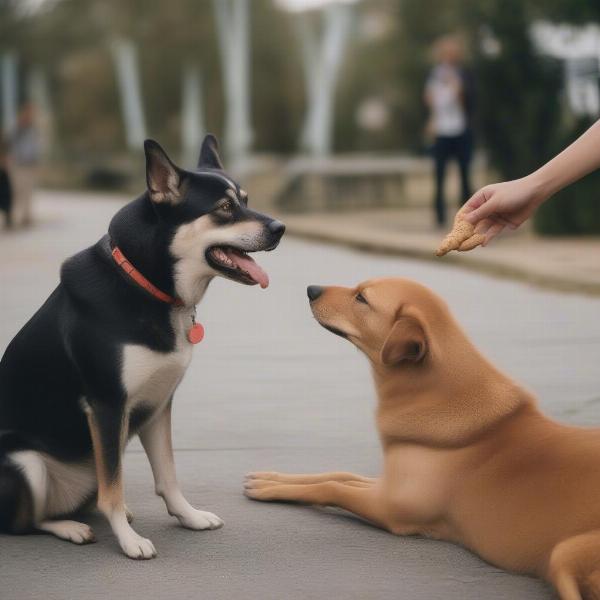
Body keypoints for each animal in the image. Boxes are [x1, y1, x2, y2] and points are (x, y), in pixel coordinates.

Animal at [0, 135, 284, 556]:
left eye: (246, 200)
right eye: (224, 208)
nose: (281, 227)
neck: (145, 284)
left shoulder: (158, 403)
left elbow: (167, 474)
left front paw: (189, 516)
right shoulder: (106, 405)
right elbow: (113, 489)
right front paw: (128, 541)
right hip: (26, 463)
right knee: (24, 521)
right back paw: (70, 527)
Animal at [244, 278, 600, 600]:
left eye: (362, 298)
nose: (311, 289)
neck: (434, 391)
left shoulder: (390, 508)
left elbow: (331, 487)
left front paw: (275, 489)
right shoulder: (389, 483)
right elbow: (339, 474)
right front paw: (274, 479)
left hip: (564, 553)